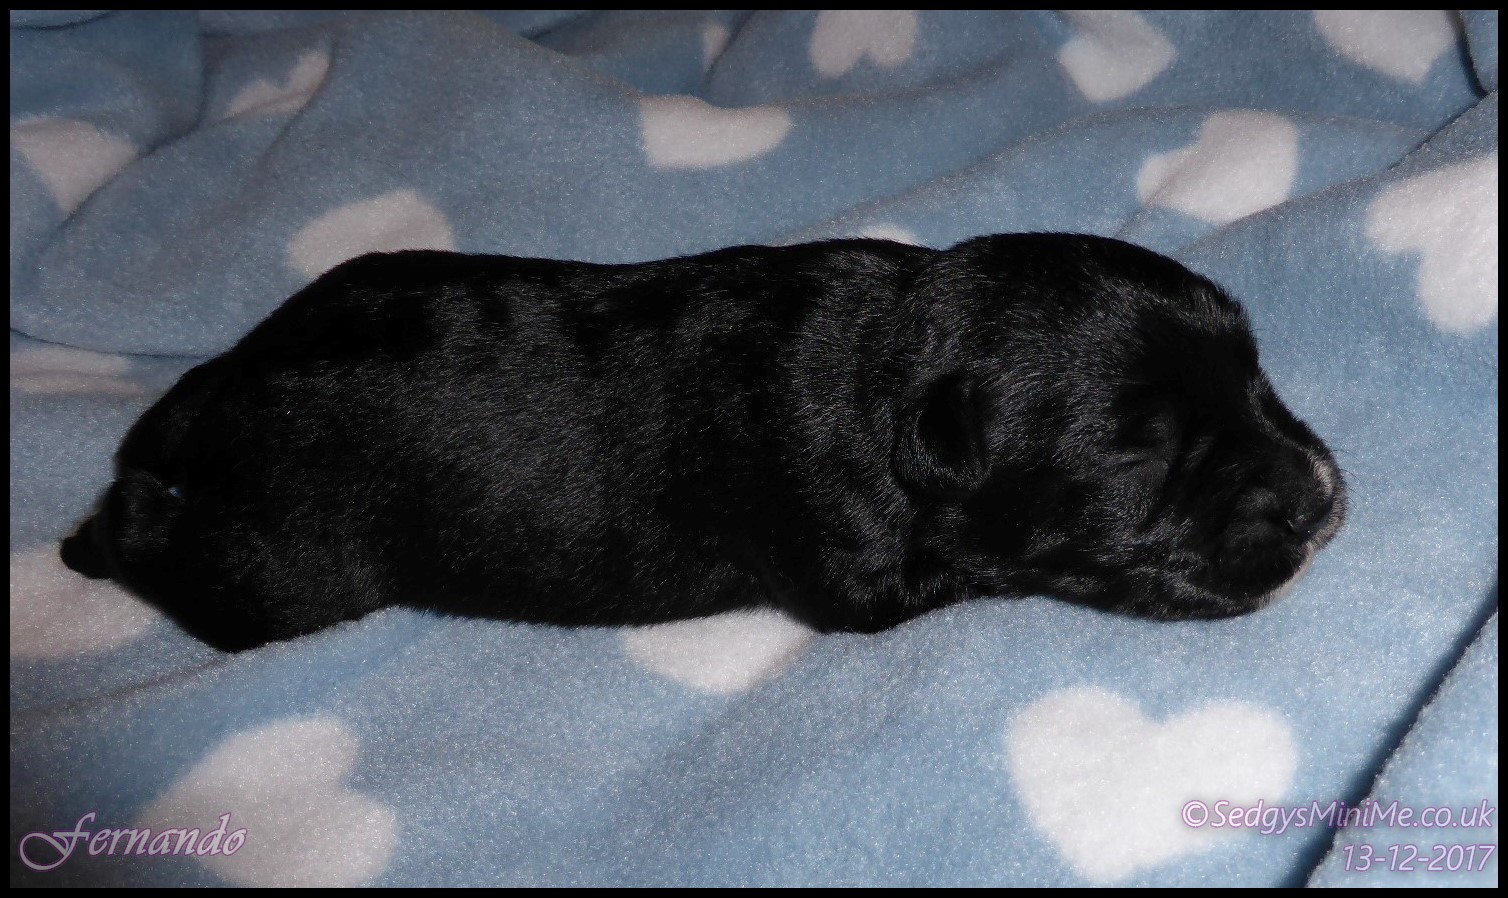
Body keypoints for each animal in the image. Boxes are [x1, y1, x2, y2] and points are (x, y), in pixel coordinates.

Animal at [62, 234, 1346, 650]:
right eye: (1137, 454)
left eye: (1254, 374)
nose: (1321, 497)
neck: (883, 359)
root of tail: (219, 386)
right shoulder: (845, 567)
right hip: (274, 571)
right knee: (164, 547)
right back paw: (90, 537)